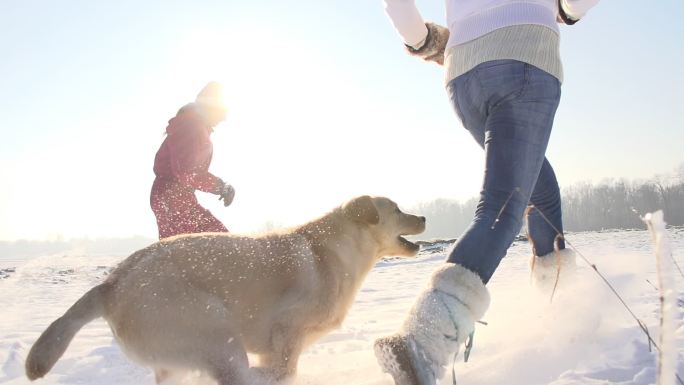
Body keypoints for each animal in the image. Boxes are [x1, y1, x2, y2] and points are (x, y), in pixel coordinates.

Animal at [25, 196, 422, 382]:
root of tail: (111, 283)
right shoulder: (286, 330)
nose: (422, 216)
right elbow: (284, 370)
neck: (335, 250)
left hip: (178, 360)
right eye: (396, 208)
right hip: (217, 333)